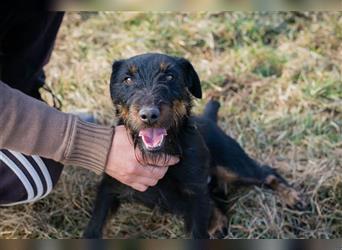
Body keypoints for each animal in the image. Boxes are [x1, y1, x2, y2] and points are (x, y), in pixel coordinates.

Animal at [83, 52, 304, 238]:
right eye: (127, 79)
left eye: (170, 76)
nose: (149, 115)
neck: (160, 152)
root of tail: (210, 119)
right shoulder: (109, 188)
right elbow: (94, 227)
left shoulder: (196, 196)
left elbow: (197, 231)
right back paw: (217, 223)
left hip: (233, 166)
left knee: (267, 173)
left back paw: (292, 197)